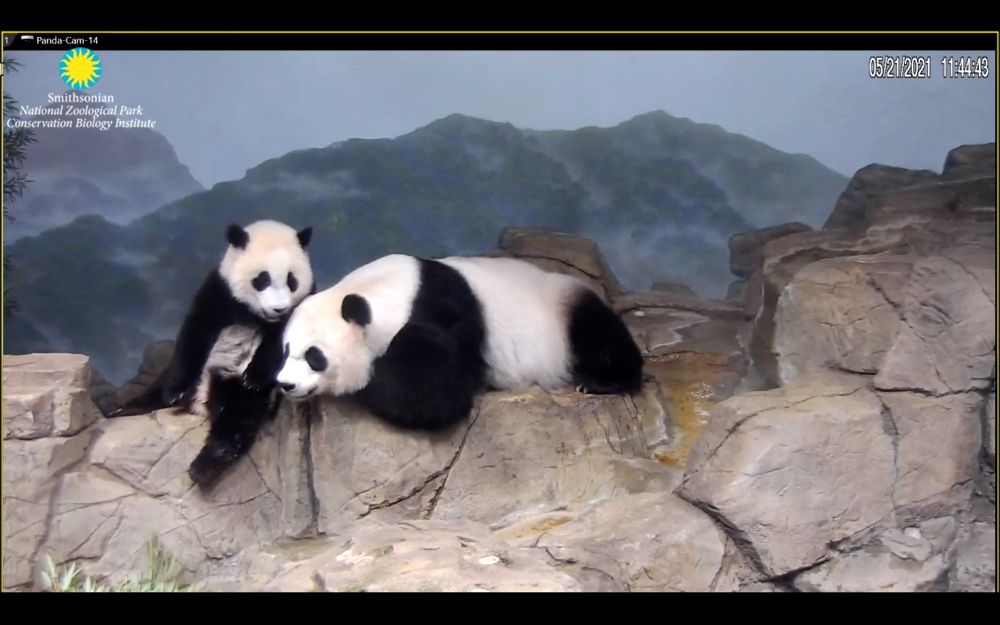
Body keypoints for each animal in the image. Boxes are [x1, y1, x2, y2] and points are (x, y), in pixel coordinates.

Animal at [111, 219, 315, 487]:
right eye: (262, 279)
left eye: (292, 280)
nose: (279, 308)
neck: (255, 314)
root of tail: (201, 400)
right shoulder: (218, 291)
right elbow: (194, 332)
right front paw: (174, 391)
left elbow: (280, 345)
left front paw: (255, 376)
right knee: (157, 386)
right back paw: (126, 408)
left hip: (233, 386)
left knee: (237, 419)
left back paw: (204, 466)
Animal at [275, 253, 643, 430]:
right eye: (286, 350)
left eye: (314, 356)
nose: (285, 384)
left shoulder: (441, 316)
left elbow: (432, 391)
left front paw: (367, 381)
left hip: (560, 311)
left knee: (599, 336)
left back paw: (600, 382)